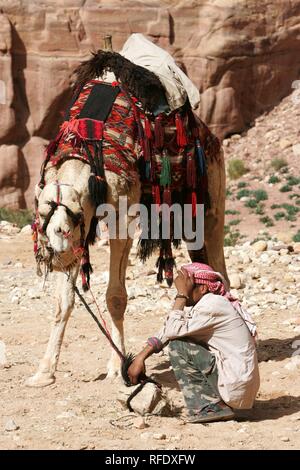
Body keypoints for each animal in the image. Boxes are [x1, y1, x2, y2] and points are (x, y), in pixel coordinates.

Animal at [27, 40, 227, 388]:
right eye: (39, 218)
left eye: (67, 223)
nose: (53, 254)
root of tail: (209, 134)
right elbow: (63, 301)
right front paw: (44, 372)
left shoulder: (120, 215)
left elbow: (115, 296)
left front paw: (115, 367)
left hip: (212, 194)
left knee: (219, 261)